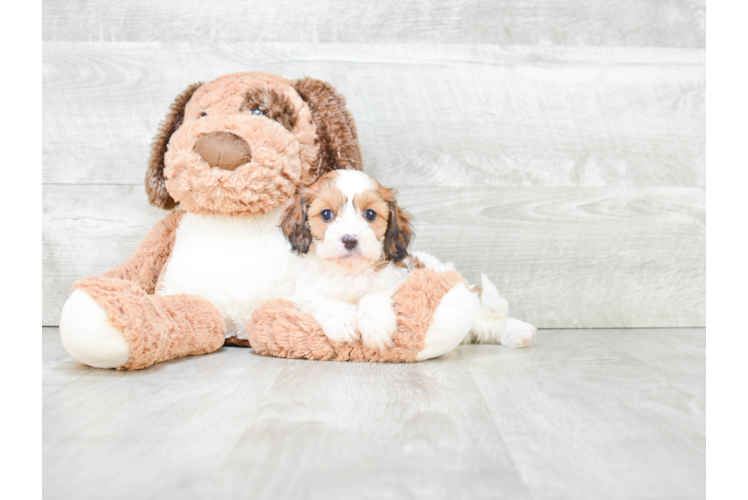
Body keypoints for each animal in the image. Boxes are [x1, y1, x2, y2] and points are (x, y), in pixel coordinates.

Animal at [280, 170, 412, 350]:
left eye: (370, 214)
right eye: (326, 214)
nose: (350, 240)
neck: (348, 271)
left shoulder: (395, 278)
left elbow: (375, 294)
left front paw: (376, 324)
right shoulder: (305, 292)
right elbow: (323, 299)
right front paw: (342, 321)